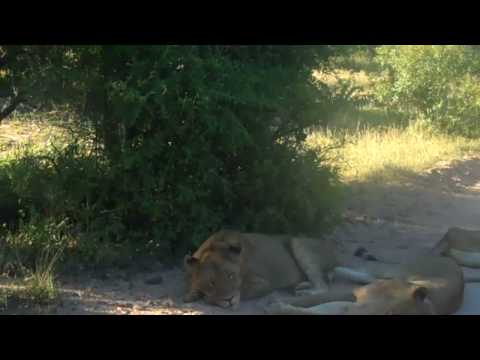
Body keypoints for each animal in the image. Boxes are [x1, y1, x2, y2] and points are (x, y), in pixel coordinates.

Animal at [183, 231, 342, 310]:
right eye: (211, 283)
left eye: (231, 276)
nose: (229, 300)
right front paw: (193, 293)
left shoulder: (264, 284)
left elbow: (242, 291)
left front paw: (207, 298)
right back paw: (300, 286)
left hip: (299, 244)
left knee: (323, 286)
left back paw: (304, 292)